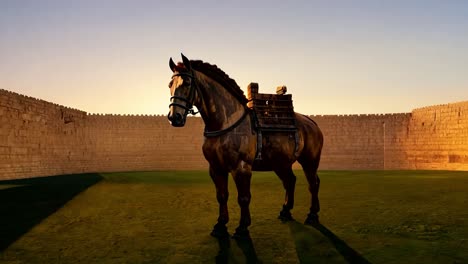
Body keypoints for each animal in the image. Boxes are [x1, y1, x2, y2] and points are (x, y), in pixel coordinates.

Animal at [166, 54, 324, 239]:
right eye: (170, 85)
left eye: (187, 82)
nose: (174, 117)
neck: (225, 123)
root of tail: (311, 122)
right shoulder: (216, 168)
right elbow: (221, 196)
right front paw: (220, 225)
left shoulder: (241, 168)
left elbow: (243, 198)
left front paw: (242, 227)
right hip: (281, 163)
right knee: (290, 181)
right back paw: (286, 211)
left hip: (310, 161)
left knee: (313, 183)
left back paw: (312, 214)